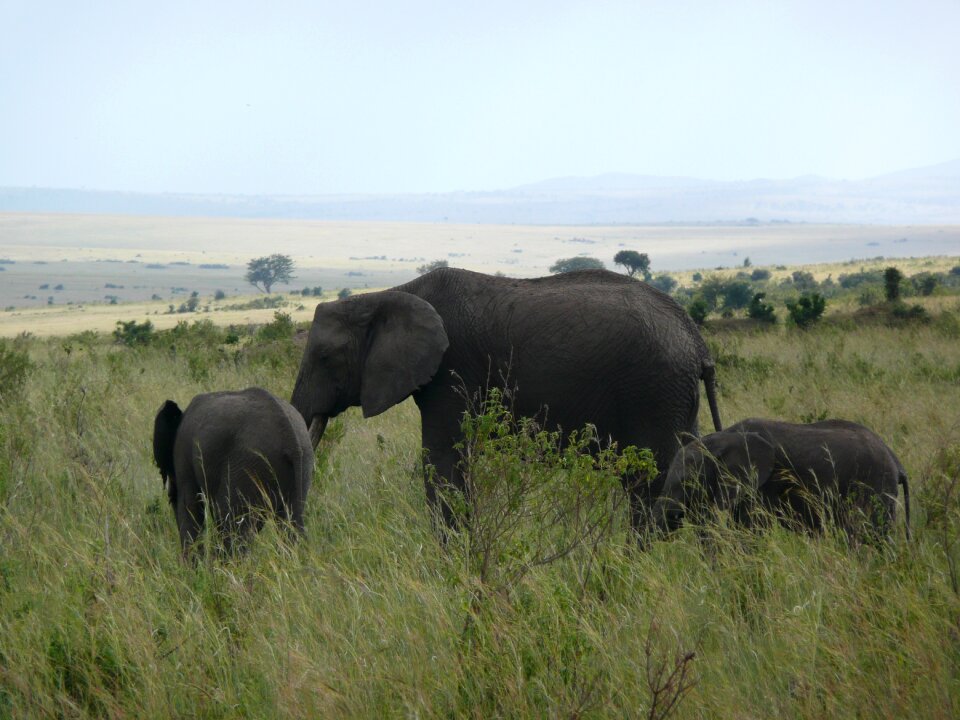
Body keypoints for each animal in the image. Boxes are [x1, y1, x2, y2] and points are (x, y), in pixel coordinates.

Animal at [152, 388, 314, 552]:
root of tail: (291, 441)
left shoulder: (183, 452)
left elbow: (190, 505)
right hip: (303, 464)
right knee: (290, 525)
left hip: (248, 467)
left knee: (231, 524)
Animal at [292, 268, 720, 532]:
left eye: (325, 357)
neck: (388, 295)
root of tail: (696, 339)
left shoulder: (453, 370)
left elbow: (443, 462)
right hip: (674, 396)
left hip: (654, 390)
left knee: (651, 485)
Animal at [652, 420, 908, 544]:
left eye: (686, 482)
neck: (724, 437)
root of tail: (897, 462)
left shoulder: (764, 482)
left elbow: (750, 529)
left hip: (873, 485)